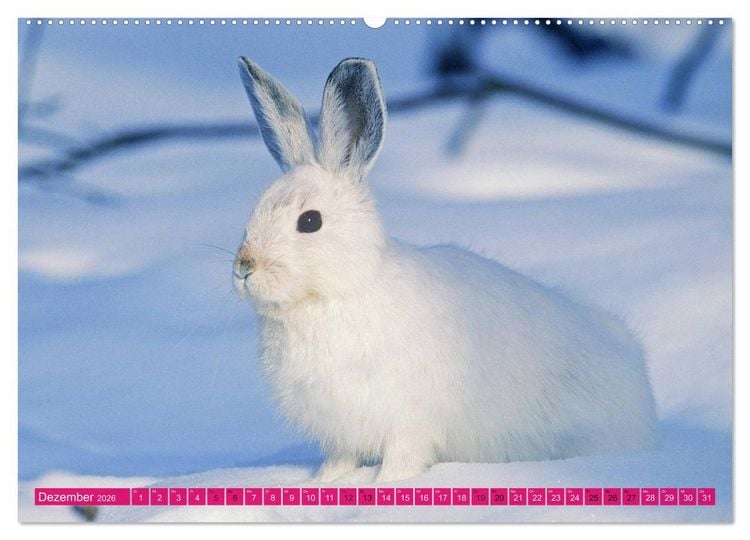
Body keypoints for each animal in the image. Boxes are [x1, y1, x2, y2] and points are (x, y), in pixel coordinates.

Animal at [233, 56, 659, 483]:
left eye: (310, 222)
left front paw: (385, 487)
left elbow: (402, 459)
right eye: (254, 211)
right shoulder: (340, 434)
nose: (244, 267)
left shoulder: (408, 422)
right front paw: (322, 484)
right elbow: (339, 461)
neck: (338, 291)